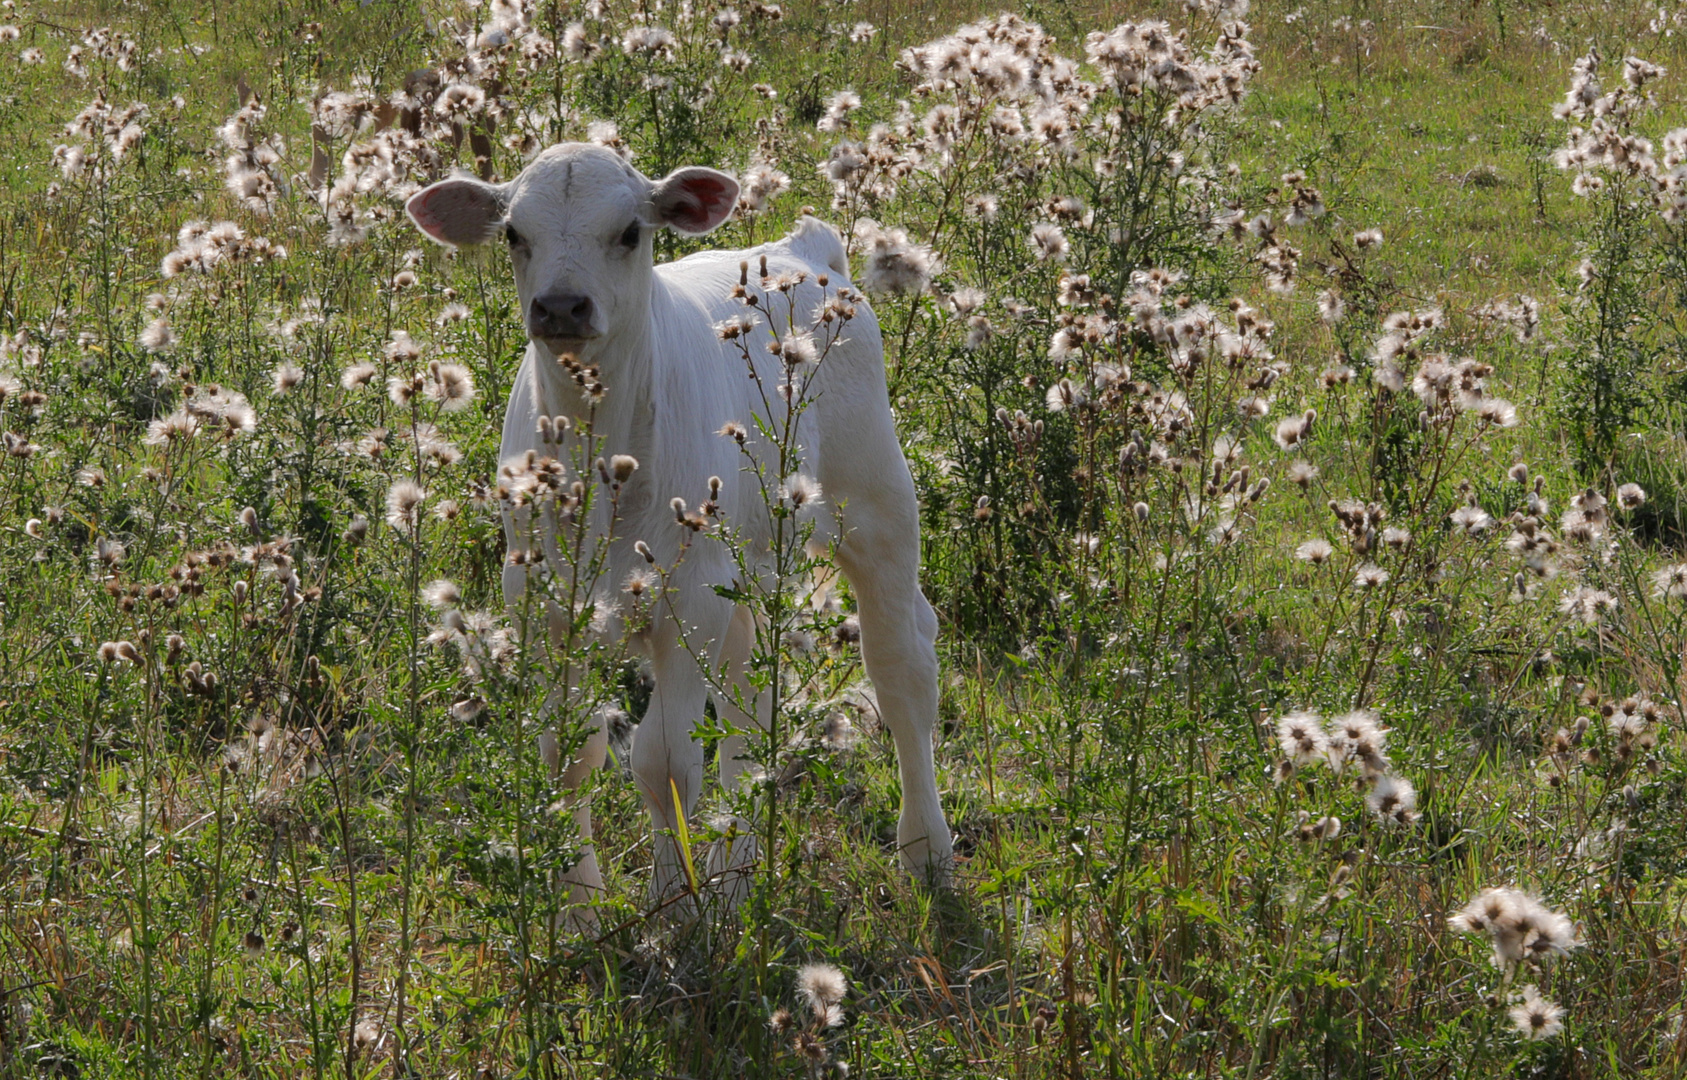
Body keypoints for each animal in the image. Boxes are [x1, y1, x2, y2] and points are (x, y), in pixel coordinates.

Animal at [404, 143, 951, 918]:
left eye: (631, 231)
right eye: (513, 233)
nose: (561, 306)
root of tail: (805, 249)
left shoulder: (686, 600)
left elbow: (662, 761)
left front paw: (674, 906)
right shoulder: (541, 604)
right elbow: (566, 755)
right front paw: (579, 911)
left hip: (875, 502)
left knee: (902, 664)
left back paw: (925, 848)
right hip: (747, 568)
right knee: (753, 692)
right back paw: (737, 870)